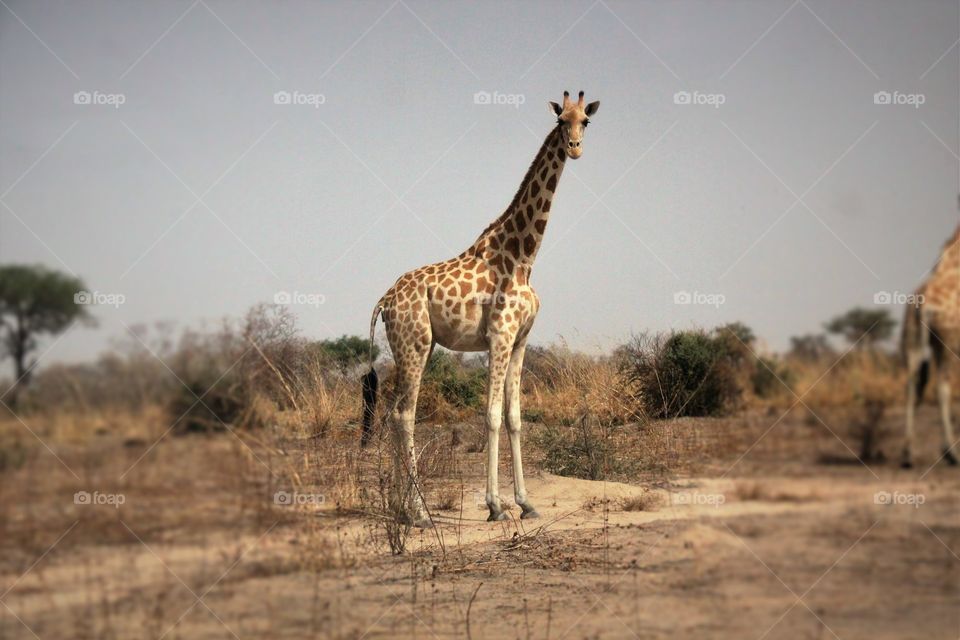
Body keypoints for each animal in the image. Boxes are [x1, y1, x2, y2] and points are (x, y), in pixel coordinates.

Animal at [360, 91, 600, 526]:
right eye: (561, 121)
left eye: (585, 122)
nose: (575, 148)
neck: (524, 257)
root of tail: (385, 299)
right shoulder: (499, 336)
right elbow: (490, 416)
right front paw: (495, 507)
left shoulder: (520, 340)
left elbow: (515, 419)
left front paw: (526, 503)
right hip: (414, 344)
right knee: (404, 415)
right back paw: (419, 512)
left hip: (416, 347)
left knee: (392, 414)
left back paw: (400, 509)